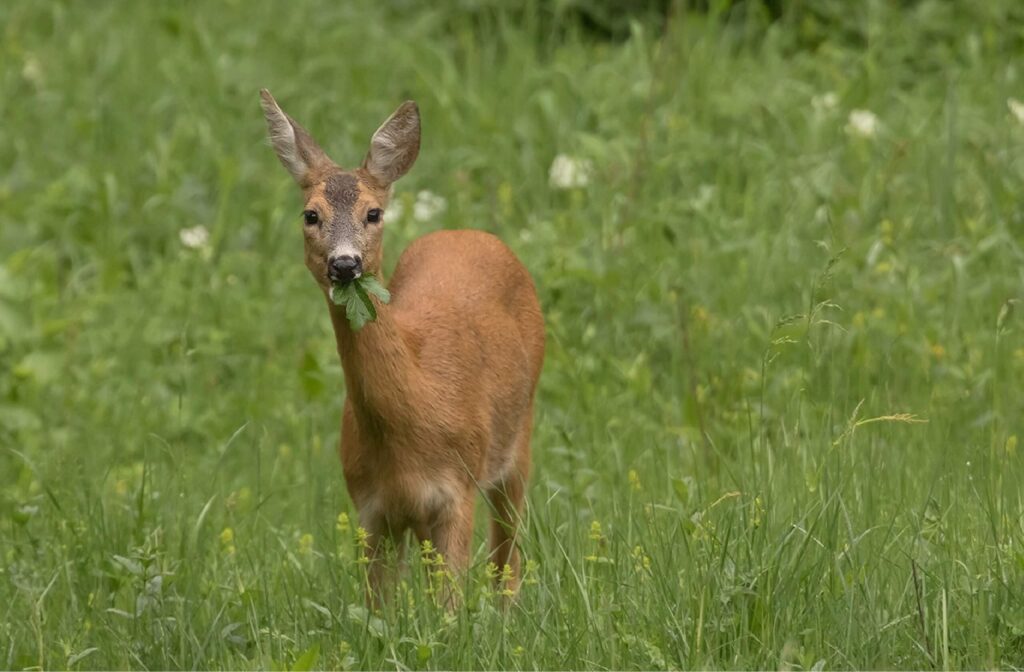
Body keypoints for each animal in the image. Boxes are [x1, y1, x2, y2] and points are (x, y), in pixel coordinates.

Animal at [258, 90, 544, 602]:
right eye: (311, 215)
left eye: (374, 213)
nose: (345, 264)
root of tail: (471, 233)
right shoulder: (371, 508)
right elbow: (378, 608)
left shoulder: (457, 492)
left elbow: (451, 606)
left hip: (519, 437)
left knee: (506, 557)